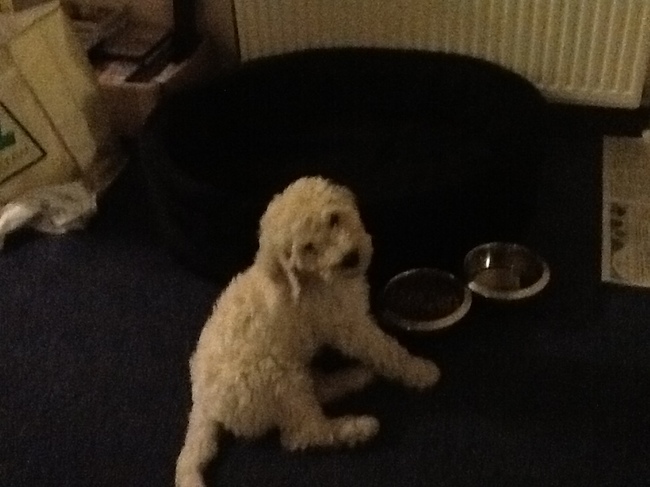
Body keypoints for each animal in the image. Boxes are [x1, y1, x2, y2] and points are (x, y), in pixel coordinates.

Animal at [176, 176, 440, 487]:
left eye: (334, 219)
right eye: (309, 248)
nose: (350, 258)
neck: (313, 279)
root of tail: (203, 404)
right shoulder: (350, 327)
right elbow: (386, 350)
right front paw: (419, 370)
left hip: (291, 376)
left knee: (314, 393)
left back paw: (353, 377)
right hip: (277, 376)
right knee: (302, 433)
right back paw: (357, 427)